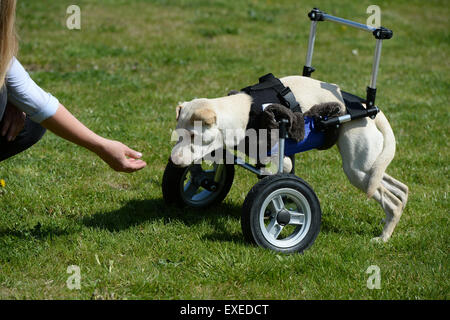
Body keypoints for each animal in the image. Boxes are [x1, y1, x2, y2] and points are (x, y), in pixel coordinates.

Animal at [171, 75, 408, 242]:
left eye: (194, 135)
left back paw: (383, 237)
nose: (173, 160)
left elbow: (273, 174)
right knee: (401, 189)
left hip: (358, 170)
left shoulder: (282, 159)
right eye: (179, 134)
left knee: (392, 200)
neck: (245, 115)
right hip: (368, 168)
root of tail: (364, 107)